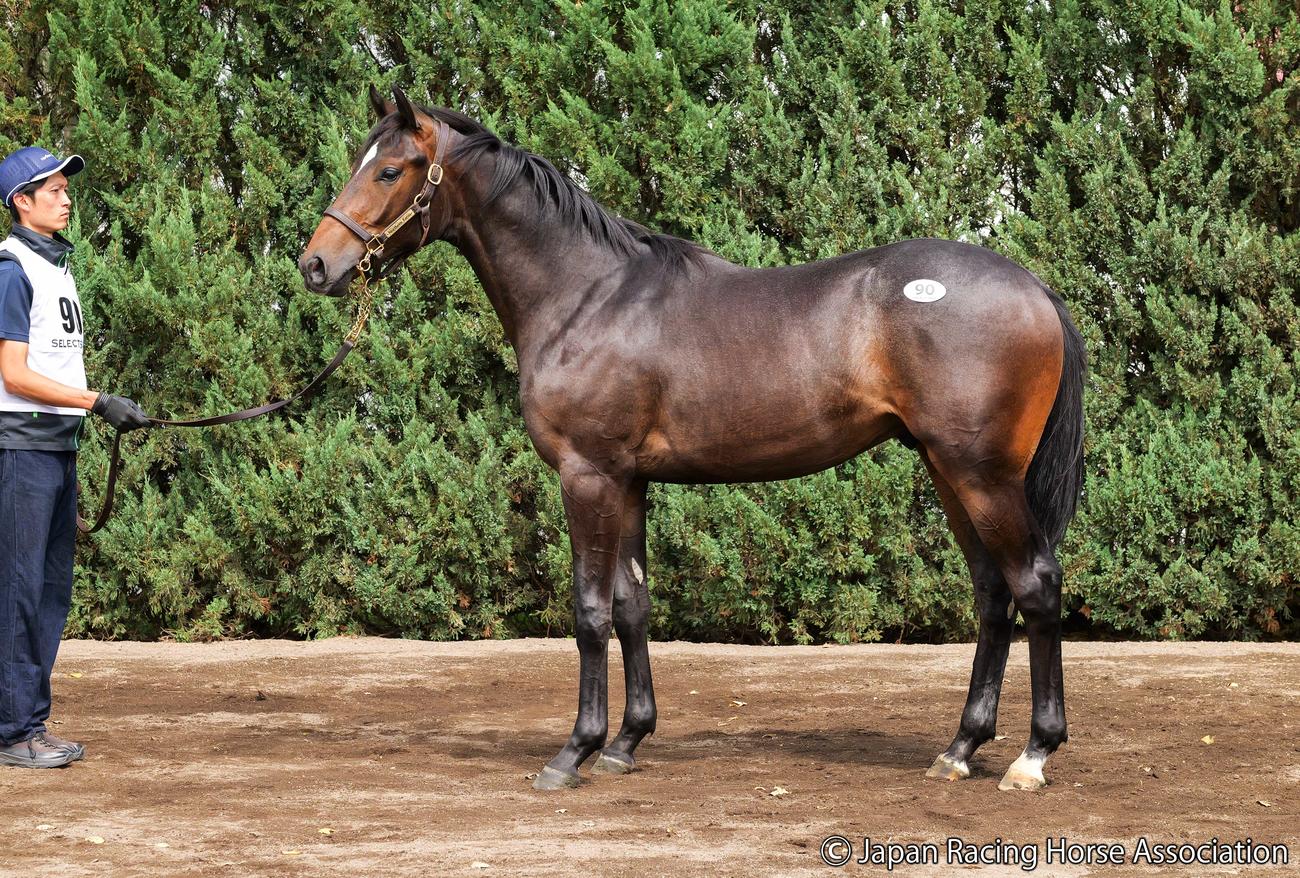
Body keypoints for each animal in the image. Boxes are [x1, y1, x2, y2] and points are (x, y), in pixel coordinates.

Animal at [298, 87, 1086, 793]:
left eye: (389, 170)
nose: (315, 265)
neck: (588, 296)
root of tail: (1036, 290)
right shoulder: (629, 481)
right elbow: (631, 605)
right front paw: (625, 743)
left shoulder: (587, 474)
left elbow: (589, 611)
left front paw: (573, 753)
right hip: (948, 471)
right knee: (992, 593)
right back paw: (960, 749)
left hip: (982, 475)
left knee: (1035, 584)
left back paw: (1032, 756)